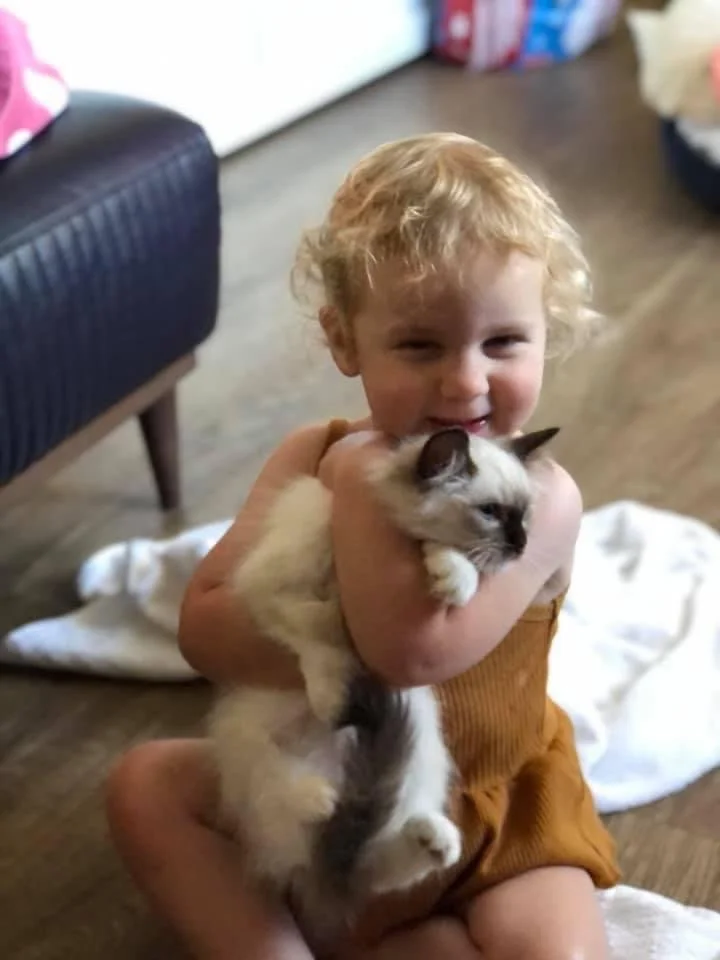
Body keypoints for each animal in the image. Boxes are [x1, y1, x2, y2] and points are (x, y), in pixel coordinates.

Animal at [208, 426, 558, 938]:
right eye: (491, 513)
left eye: (525, 514)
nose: (522, 545)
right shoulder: (273, 591)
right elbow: (323, 628)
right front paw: (332, 695)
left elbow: (446, 563)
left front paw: (452, 575)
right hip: (243, 740)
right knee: (282, 793)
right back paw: (320, 796)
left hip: (420, 729)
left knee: (372, 866)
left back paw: (434, 839)